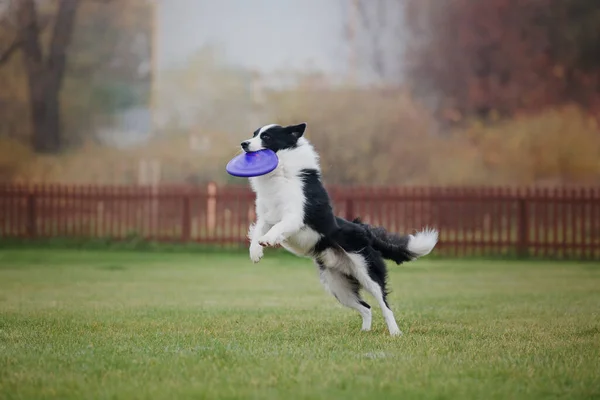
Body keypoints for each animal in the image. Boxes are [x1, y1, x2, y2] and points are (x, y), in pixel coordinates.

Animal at [241, 123, 438, 336]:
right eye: (254, 134)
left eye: (266, 137)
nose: (244, 144)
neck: (280, 172)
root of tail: (364, 230)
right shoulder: (265, 215)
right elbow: (258, 230)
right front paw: (255, 252)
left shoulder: (295, 216)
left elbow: (279, 226)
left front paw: (268, 240)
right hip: (338, 286)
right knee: (366, 307)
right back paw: (365, 331)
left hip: (367, 271)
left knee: (384, 305)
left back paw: (395, 333)